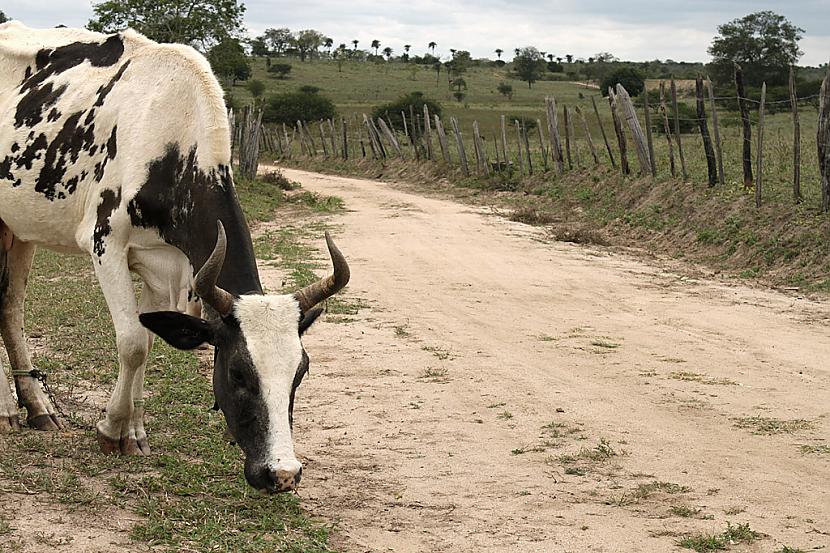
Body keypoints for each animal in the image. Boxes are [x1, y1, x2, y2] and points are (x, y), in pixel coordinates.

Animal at [0, 21, 350, 492]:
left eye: (301, 371)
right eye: (237, 372)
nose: (282, 473)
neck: (172, 142)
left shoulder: (164, 263)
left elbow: (148, 339)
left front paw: (134, 432)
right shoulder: (105, 243)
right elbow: (131, 342)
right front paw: (110, 428)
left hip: (21, 227)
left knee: (10, 306)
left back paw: (38, 407)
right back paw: (7, 409)